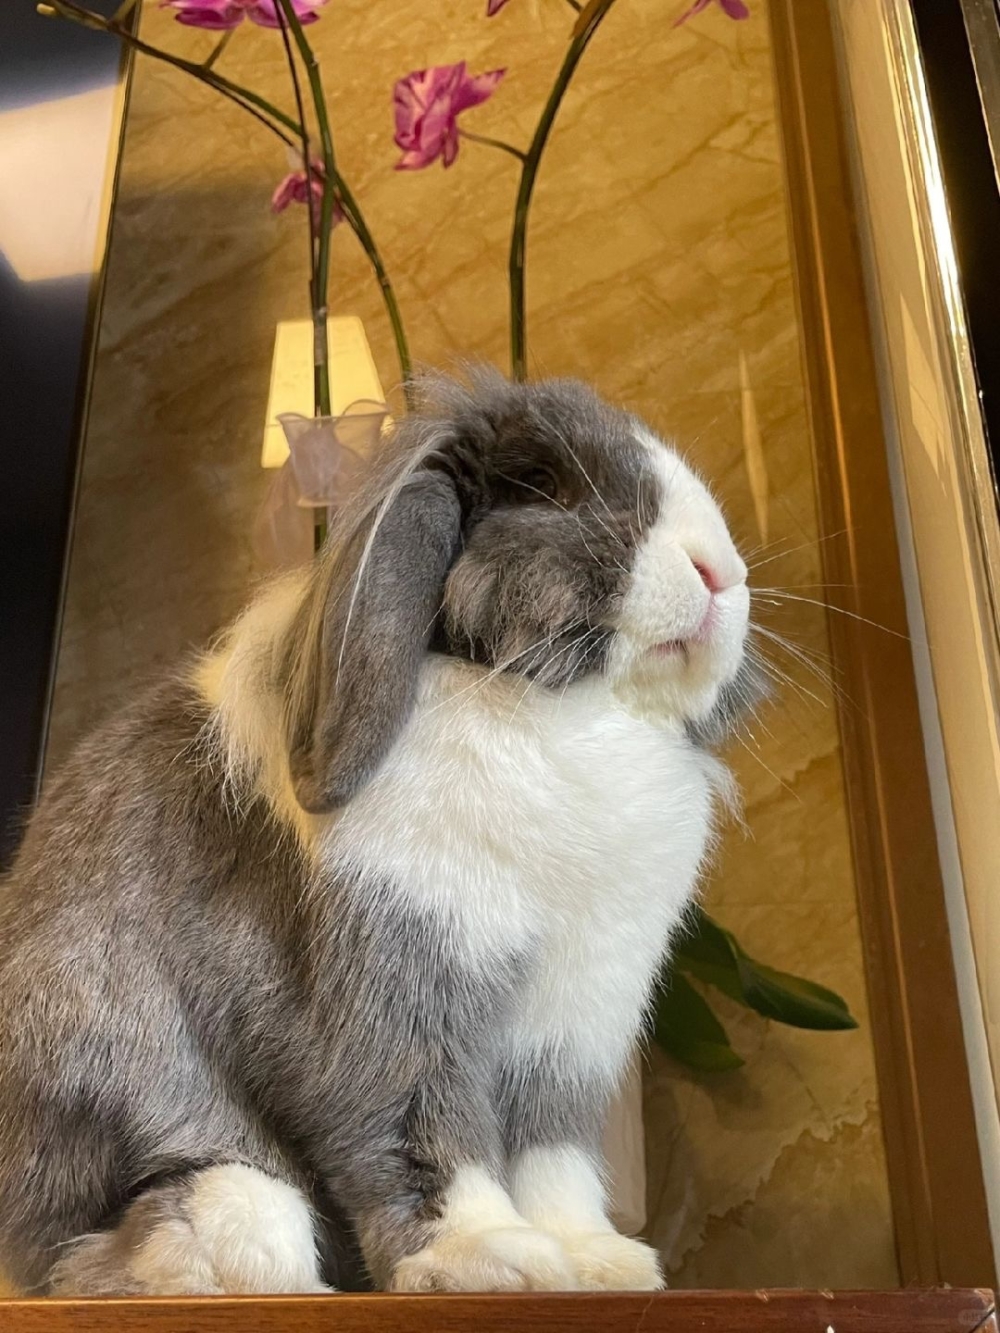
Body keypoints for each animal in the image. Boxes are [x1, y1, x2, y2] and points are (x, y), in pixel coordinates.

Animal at [0, 369, 759, 1298]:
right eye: (545, 486)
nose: (719, 572)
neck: (560, 710)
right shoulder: (390, 998)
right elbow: (419, 1132)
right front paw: (488, 1256)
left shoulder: (568, 1030)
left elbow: (552, 1154)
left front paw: (592, 1260)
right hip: (103, 1072)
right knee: (82, 1250)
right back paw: (216, 1249)